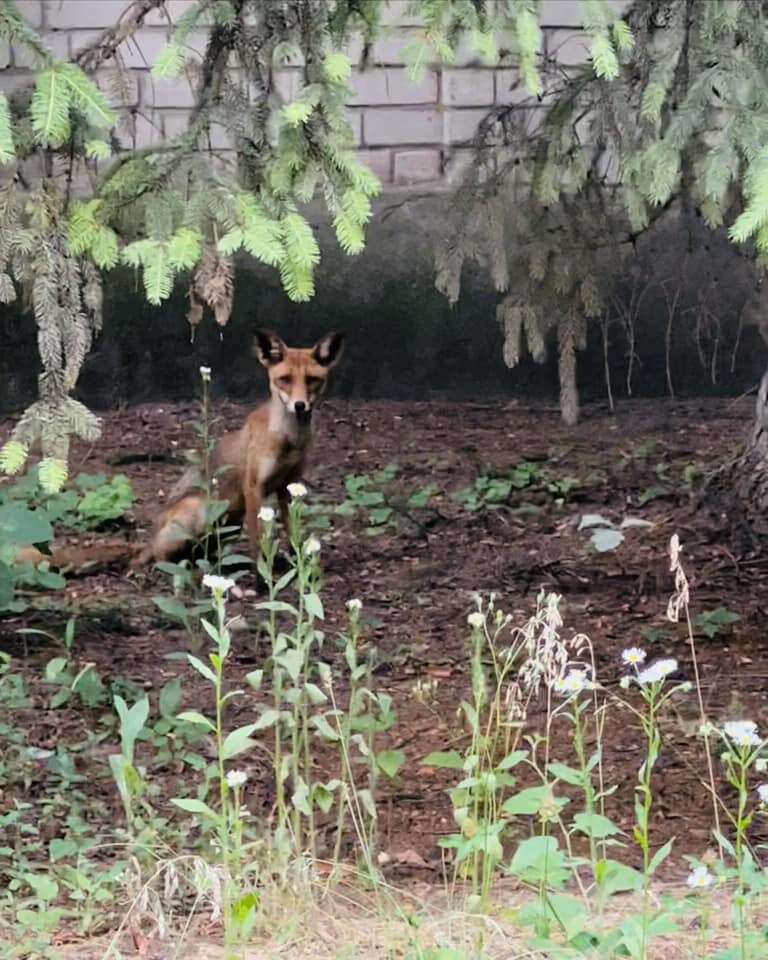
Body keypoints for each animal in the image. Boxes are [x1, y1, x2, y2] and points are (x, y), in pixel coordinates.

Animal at [133, 330, 344, 568]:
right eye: (285, 379)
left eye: (313, 380)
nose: (300, 405)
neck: (289, 441)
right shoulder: (253, 486)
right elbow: (257, 538)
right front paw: (262, 573)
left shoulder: (289, 485)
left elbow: (292, 531)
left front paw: (297, 562)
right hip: (200, 511)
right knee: (160, 556)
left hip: (230, 522)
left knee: (206, 551)